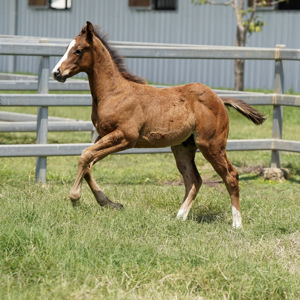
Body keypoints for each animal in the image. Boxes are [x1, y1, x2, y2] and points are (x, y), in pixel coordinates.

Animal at [53, 21, 264, 227]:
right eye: (66, 48)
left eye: (78, 50)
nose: (57, 73)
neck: (113, 92)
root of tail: (220, 99)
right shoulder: (104, 135)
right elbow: (88, 163)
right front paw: (110, 203)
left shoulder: (126, 137)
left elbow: (84, 156)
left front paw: (75, 198)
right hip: (183, 147)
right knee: (194, 179)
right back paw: (179, 217)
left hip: (211, 145)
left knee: (231, 175)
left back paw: (237, 225)